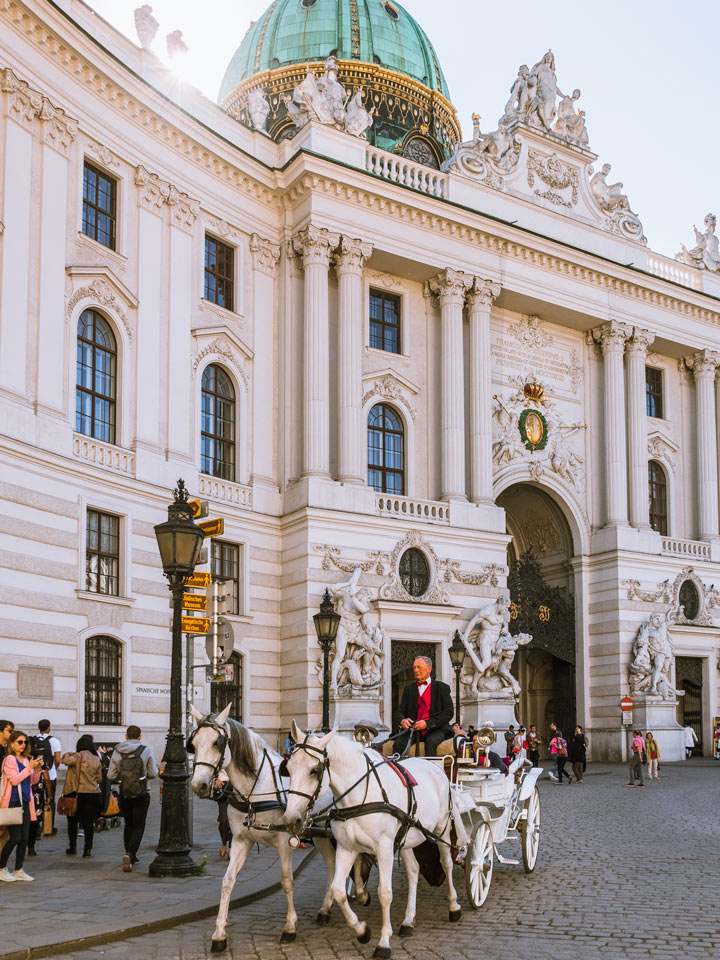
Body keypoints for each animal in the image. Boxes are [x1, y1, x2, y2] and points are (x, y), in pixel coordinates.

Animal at [190, 704, 366, 952]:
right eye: (194, 743)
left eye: (217, 742)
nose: (199, 785)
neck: (257, 790)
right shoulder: (241, 840)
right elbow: (227, 881)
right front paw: (219, 934)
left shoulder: (285, 841)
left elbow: (287, 881)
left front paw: (290, 927)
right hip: (320, 832)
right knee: (333, 865)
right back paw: (326, 909)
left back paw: (359, 892)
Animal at [282, 724, 466, 956]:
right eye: (288, 769)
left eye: (314, 770)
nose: (291, 820)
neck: (360, 797)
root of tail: (435, 767)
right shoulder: (346, 848)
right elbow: (338, 890)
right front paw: (362, 930)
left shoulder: (384, 848)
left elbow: (385, 893)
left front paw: (383, 942)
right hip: (407, 836)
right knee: (414, 871)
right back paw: (408, 920)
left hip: (442, 829)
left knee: (446, 863)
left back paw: (454, 907)